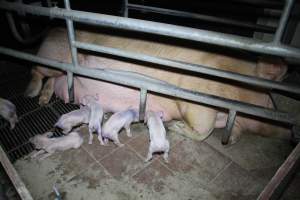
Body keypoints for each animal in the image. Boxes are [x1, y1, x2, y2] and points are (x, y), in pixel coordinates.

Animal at [24, 28, 290, 144]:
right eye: (270, 100)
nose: (290, 131)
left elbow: (229, 131)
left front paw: (232, 139)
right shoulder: (196, 96)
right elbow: (203, 127)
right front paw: (175, 128)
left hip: (59, 71)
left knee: (54, 80)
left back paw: (43, 100)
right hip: (53, 56)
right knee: (37, 69)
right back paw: (31, 93)